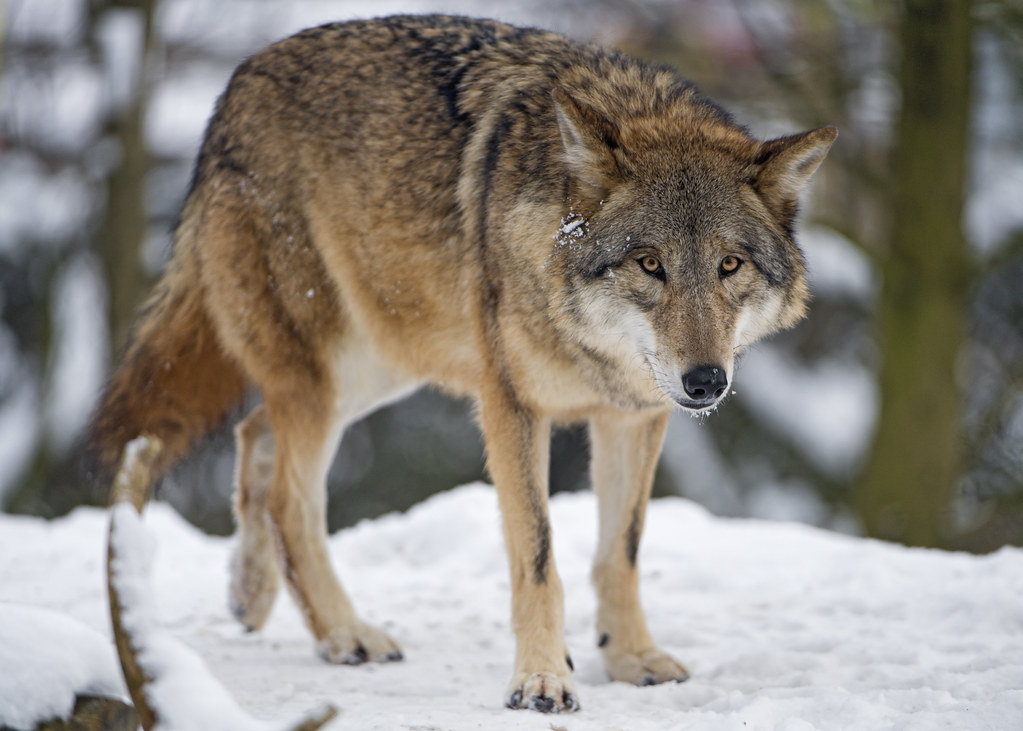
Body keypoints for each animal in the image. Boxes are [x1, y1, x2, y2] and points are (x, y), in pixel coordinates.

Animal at [88, 14, 835, 713]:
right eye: (650, 264)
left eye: (728, 265)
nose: (706, 381)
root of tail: (233, 89)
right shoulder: (511, 406)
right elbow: (538, 557)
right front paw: (541, 678)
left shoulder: (635, 413)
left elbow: (619, 551)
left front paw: (631, 658)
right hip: (332, 369)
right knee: (287, 498)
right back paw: (344, 632)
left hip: (377, 365)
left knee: (254, 434)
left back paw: (251, 594)